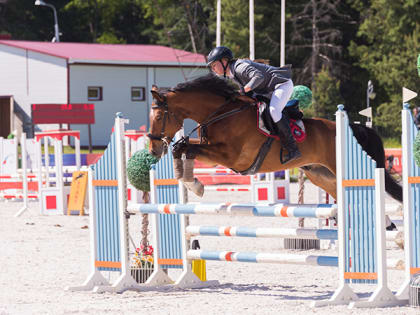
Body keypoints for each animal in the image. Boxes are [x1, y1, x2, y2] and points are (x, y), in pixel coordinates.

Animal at [147, 74, 400, 202]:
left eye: (158, 116)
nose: (153, 149)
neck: (221, 112)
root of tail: (354, 128)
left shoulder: (231, 157)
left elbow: (189, 149)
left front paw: (195, 185)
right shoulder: (212, 150)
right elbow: (183, 148)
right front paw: (192, 183)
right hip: (321, 174)